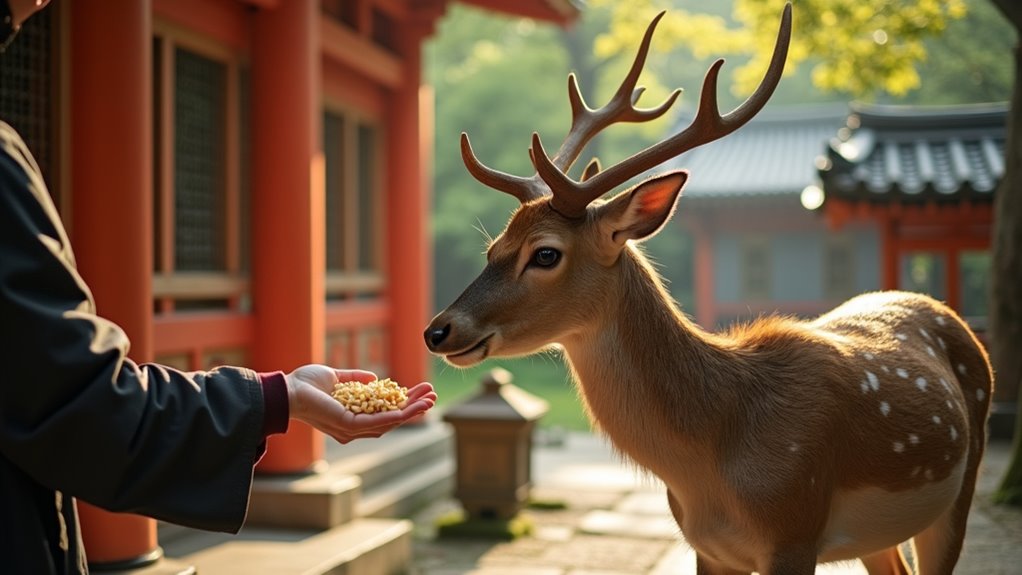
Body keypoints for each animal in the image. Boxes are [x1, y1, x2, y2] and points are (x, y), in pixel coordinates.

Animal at [424, 4, 993, 574]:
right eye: (493, 246)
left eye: (545, 253)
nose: (437, 330)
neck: (711, 469)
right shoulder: (706, 545)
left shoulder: (795, 529)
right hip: (878, 537)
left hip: (961, 486)